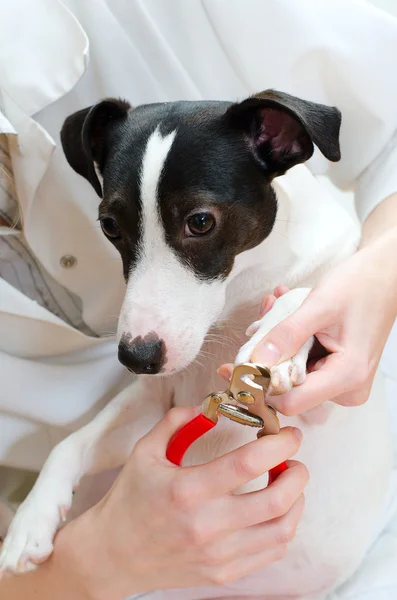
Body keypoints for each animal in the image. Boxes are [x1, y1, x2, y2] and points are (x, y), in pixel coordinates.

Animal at [0, 90, 390, 600]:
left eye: (200, 222)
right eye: (109, 226)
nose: (136, 358)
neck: (240, 292)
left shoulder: (322, 404)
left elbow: (310, 293)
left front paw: (278, 344)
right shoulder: (157, 404)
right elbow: (72, 442)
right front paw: (31, 520)